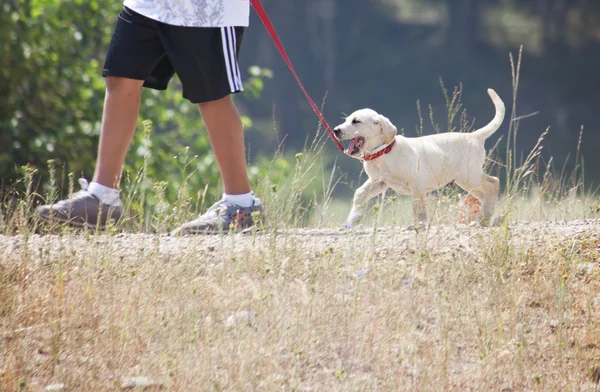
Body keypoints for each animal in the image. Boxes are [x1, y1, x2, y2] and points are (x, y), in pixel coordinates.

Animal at [336, 87, 504, 228]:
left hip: (469, 176)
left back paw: (484, 216)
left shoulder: (416, 182)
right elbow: (359, 193)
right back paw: (485, 217)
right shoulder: (379, 182)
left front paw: (420, 224)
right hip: (466, 181)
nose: (336, 130)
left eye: (356, 121)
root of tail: (474, 136)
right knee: (485, 194)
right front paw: (353, 219)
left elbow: (418, 206)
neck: (384, 152)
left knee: (493, 183)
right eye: (346, 120)